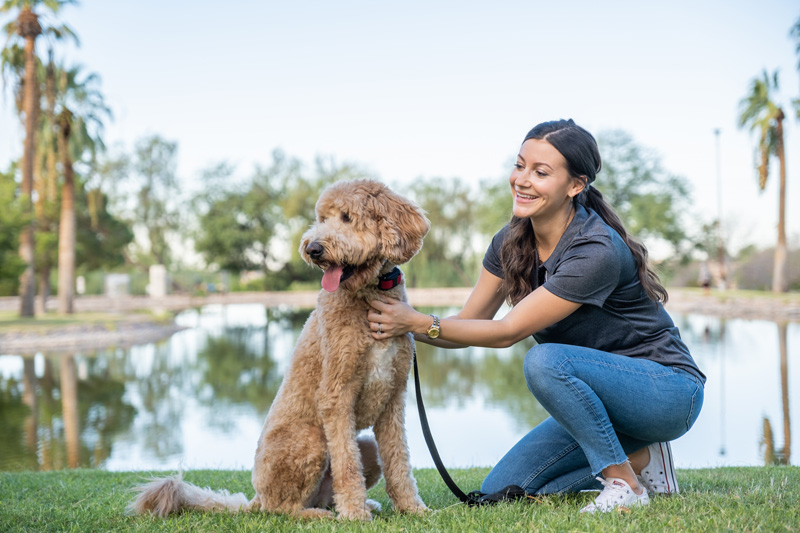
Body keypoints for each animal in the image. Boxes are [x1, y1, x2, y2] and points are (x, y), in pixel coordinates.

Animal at [130, 179, 432, 520]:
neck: (369, 295)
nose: (313, 248)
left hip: (365, 444)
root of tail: (256, 497)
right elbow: (347, 465)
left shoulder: (392, 398)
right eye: (321, 218)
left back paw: (353, 505)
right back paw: (321, 515)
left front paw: (412, 508)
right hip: (311, 439)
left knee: (325, 493)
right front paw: (355, 516)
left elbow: (398, 460)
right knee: (283, 507)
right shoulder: (336, 395)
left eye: (346, 217)